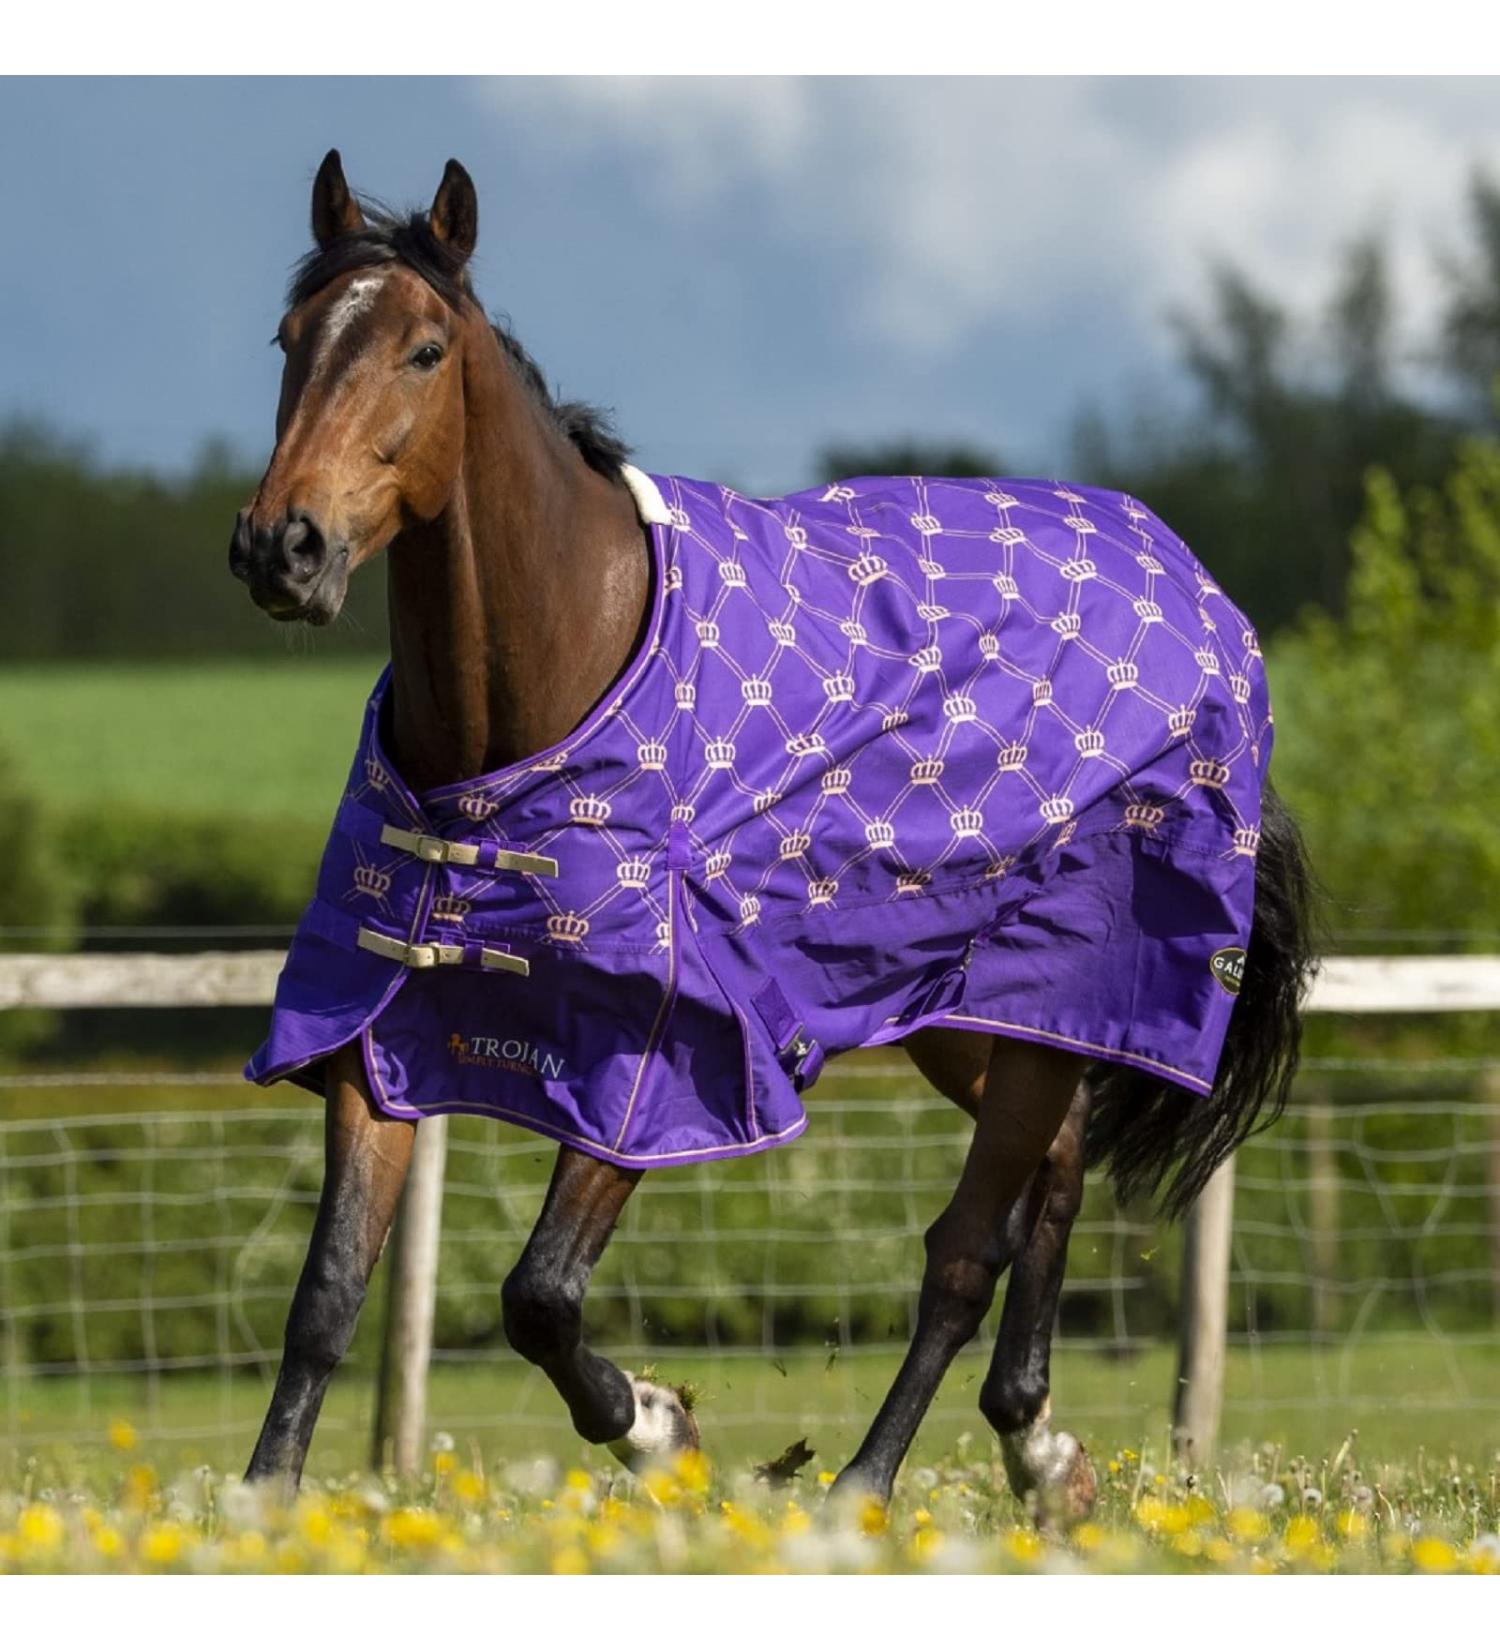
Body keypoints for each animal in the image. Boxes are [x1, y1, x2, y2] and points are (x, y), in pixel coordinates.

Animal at [230, 151, 1316, 1522]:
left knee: (967, 1250)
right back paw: (1040, 1451)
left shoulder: (665, 1057)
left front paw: (659, 1428)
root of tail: (1198, 590)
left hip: (1058, 982)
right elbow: (326, 1294)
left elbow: (540, 1298)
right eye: (290, 338)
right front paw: (263, 1506)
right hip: (967, 1015)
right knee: (1055, 1175)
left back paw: (865, 1486)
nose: (283, 547)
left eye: (425, 350)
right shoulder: (373, 1023)